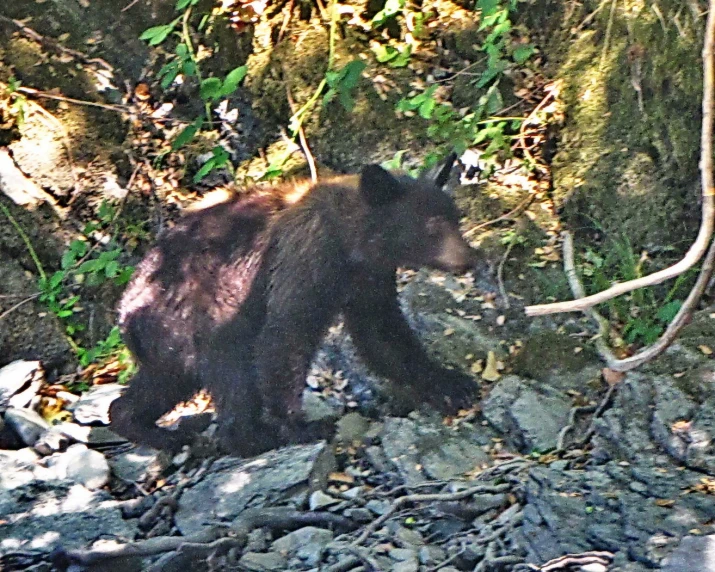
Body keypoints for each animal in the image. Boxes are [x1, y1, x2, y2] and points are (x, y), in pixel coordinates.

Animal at [110, 155, 482, 456]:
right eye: (432, 226)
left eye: (456, 217)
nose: (468, 258)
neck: (351, 243)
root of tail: (125, 312)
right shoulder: (304, 260)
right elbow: (287, 334)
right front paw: (300, 426)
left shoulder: (368, 280)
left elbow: (382, 335)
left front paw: (451, 383)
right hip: (200, 310)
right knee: (232, 366)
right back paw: (249, 437)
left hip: (167, 341)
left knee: (163, 381)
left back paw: (149, 427)